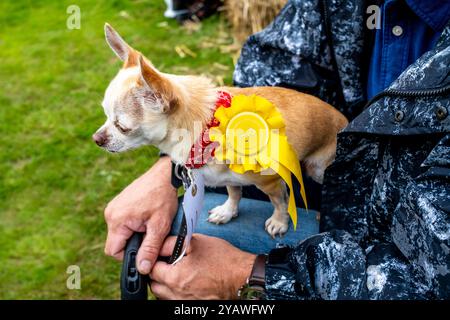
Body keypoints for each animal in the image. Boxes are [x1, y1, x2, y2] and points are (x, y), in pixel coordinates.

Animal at [94, 23, 348, 238]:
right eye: (105, 115)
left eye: (122, 127)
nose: (96, 138)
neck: (206, 129)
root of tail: (344, 119)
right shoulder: (229, 177)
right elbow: (234, 191)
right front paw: (227, 211)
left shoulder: (271, 181)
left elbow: (280, 201)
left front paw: (279, 221)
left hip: (317, 167)